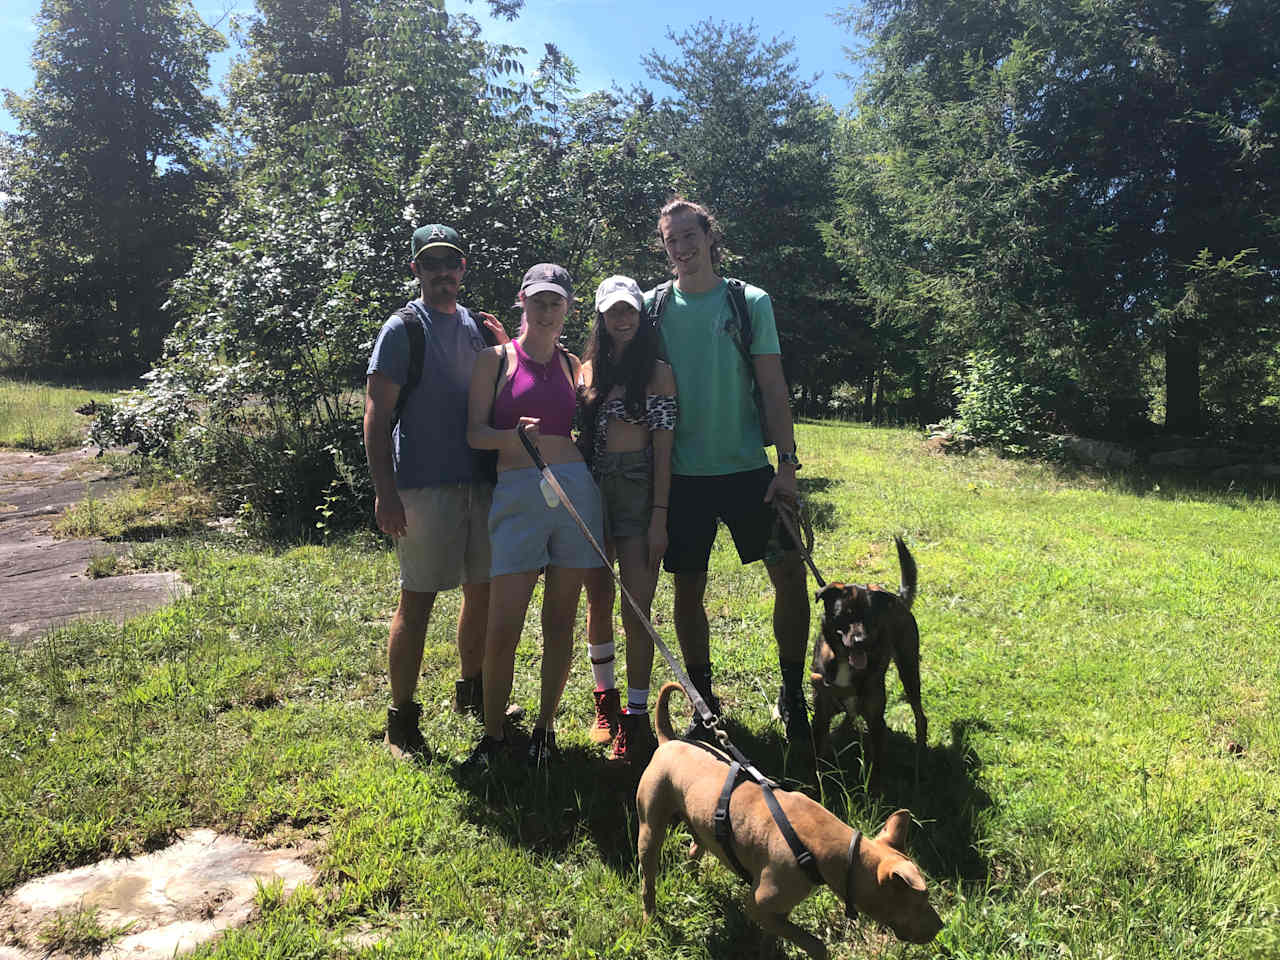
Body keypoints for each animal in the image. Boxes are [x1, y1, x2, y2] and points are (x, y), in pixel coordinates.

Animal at [637, 686, 947, 960]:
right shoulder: (758, 905)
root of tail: (670, 740)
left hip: (701, 823)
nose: (941, 926)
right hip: (650, 831)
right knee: (648, 880)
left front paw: (767, 952)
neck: (836, 851)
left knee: (695, 849)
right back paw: (650, 917)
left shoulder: (777, 910)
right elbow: (813, 943)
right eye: (919, 902)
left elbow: (774, 935)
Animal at [803, 537, 926, 783]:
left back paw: (920, 760)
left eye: (870, 616)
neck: (843, 661)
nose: (860, 641)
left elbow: (876, 769)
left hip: (909, 669)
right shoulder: (820, 716)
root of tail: (898, 599)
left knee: (920, 717)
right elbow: (817, 759)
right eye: (845, 615)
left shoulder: (876, 721)